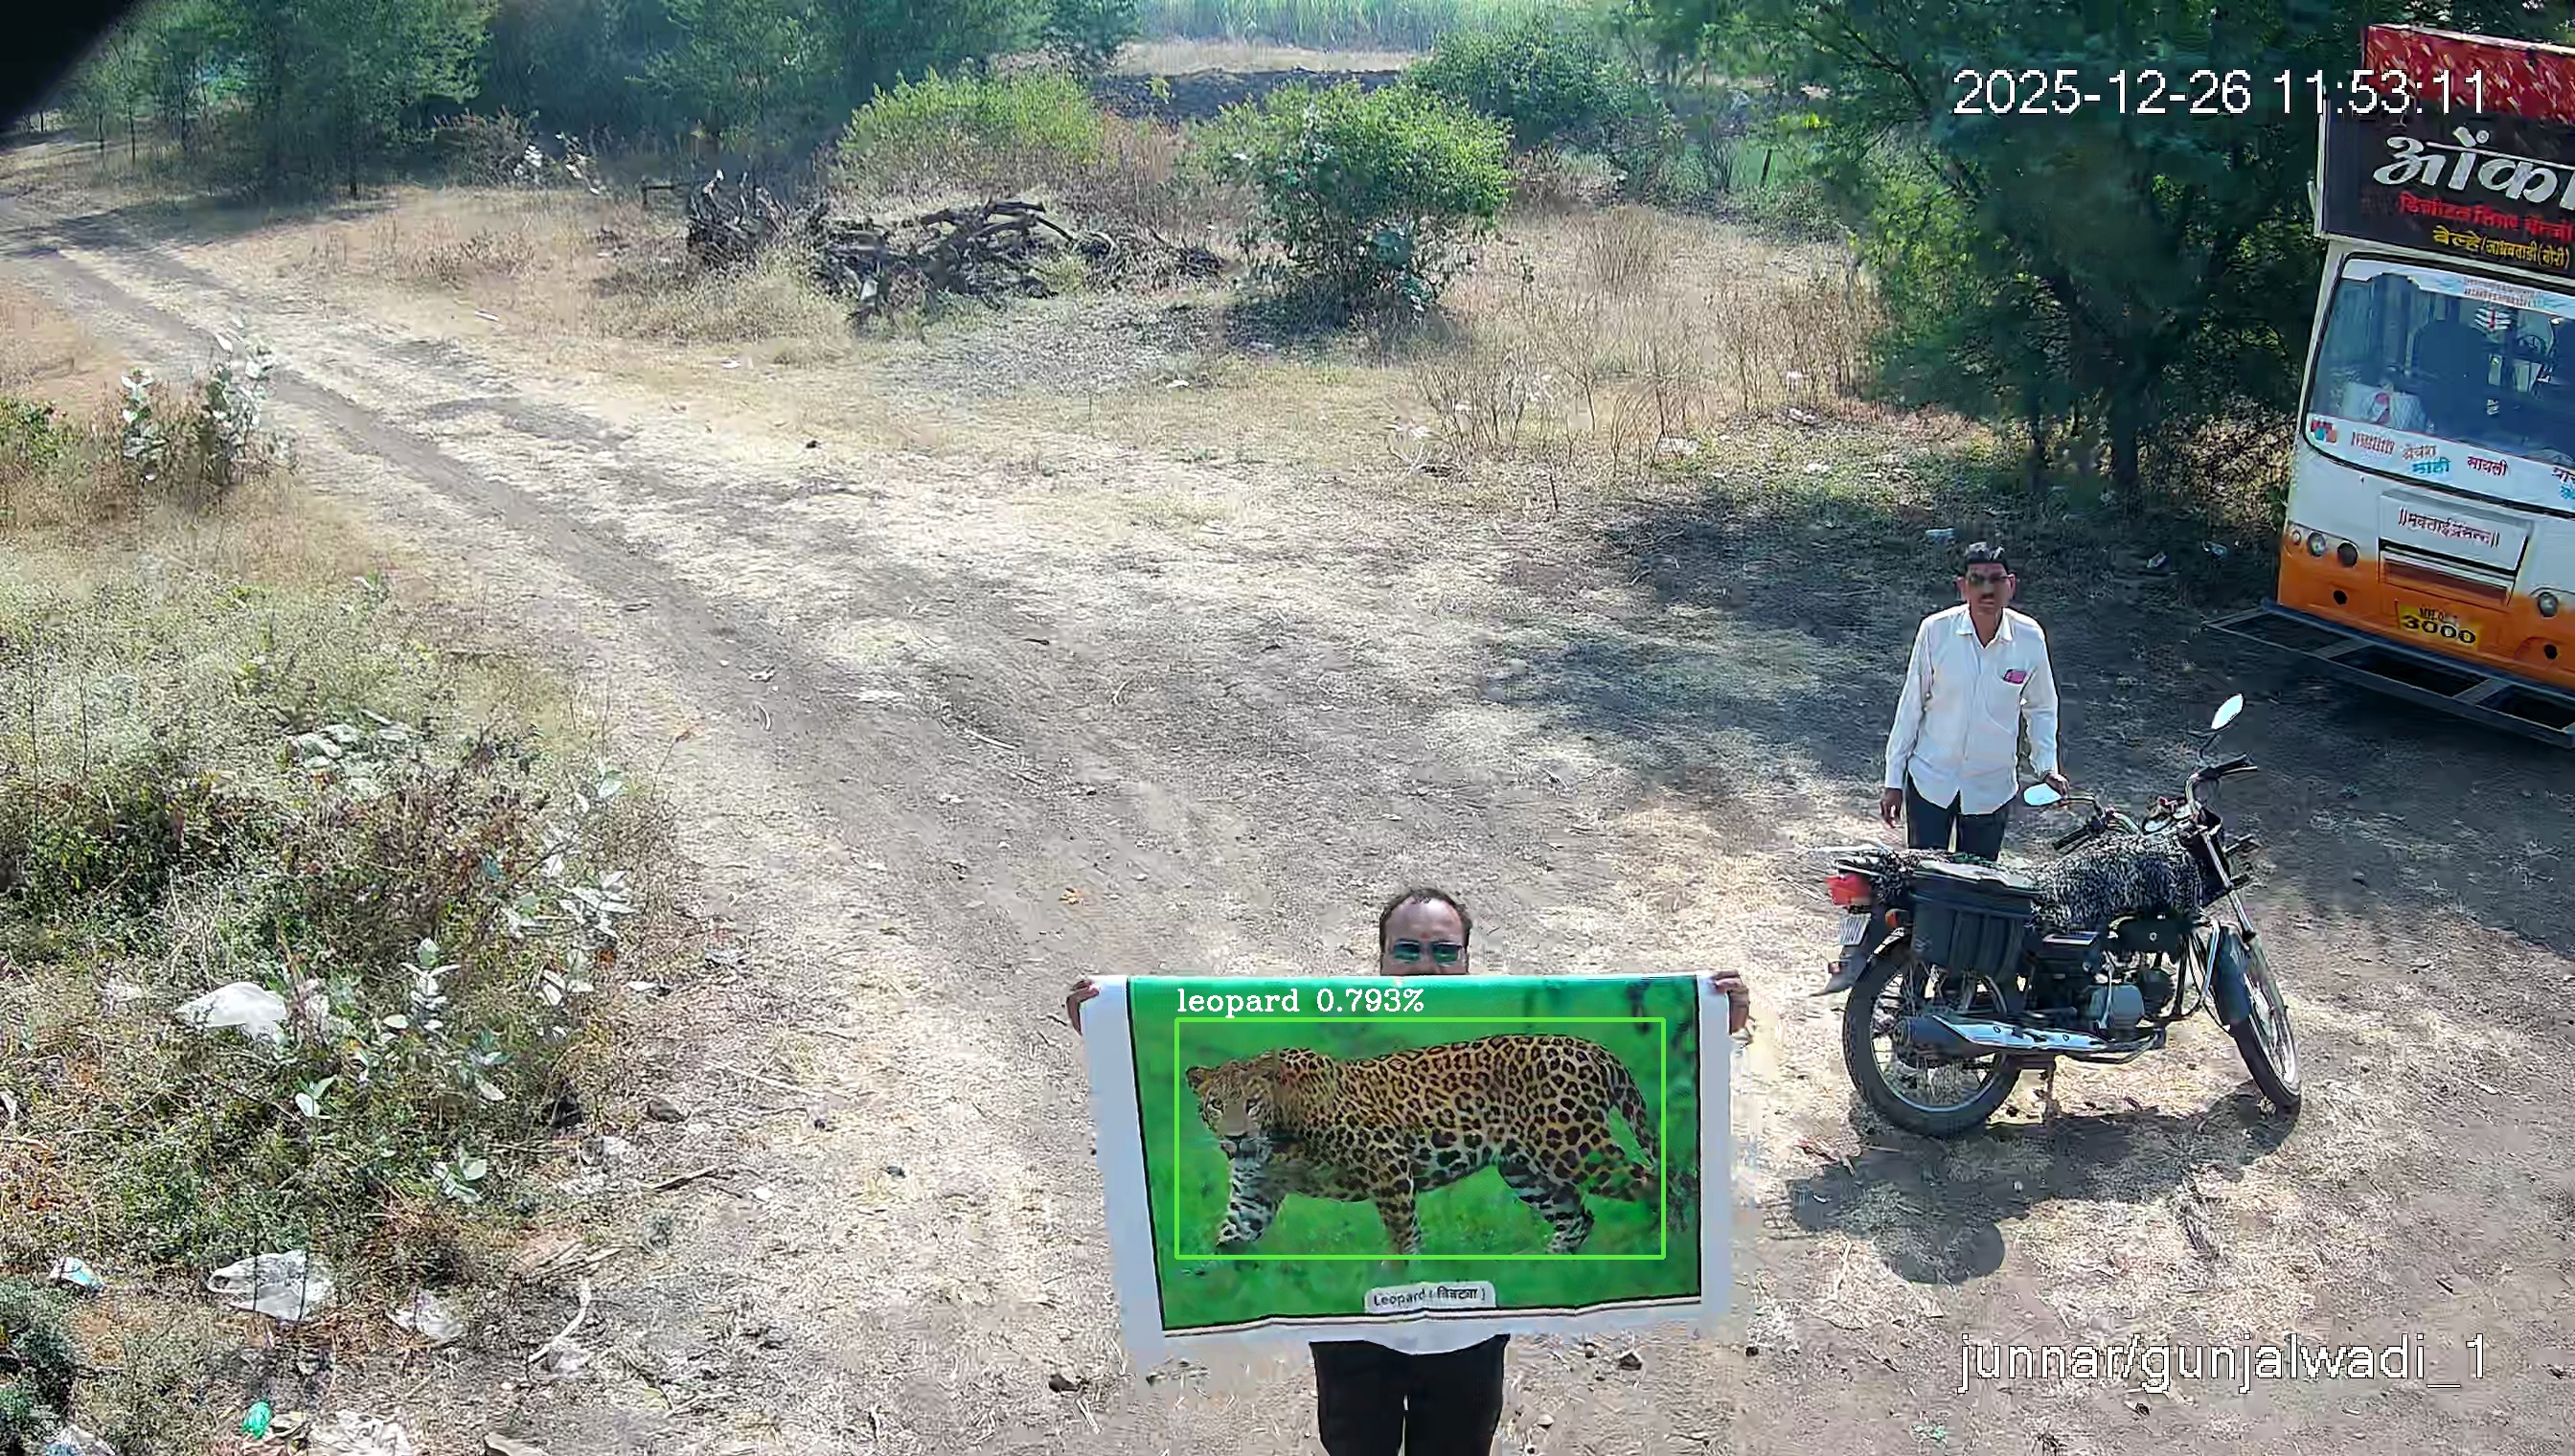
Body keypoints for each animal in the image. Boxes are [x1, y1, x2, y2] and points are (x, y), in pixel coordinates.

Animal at [1183, 1033, 1688, 1256]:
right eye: (1215, 1105)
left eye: (1251, 1104)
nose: (1235, 1138)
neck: (1275, 1139)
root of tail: (1591, 1047)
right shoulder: (1253, 1196)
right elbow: (1228, 1245)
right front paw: (1213, 1296)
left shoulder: (1385, 1156)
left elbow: (1402, 1236)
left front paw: (1400, 1282)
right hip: (1525, 1169)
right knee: (1578, 1217)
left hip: (1573, 1147)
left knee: (1662, 1182)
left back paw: (1669, 1248)